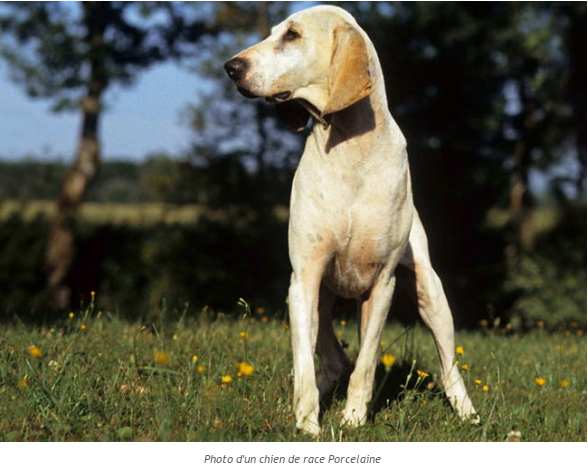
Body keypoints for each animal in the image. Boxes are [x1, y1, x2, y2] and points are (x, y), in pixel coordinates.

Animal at [225, 4, 478, 436]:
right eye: (274, 32)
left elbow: (367, 363)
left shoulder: (383, 284)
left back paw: (468, 413)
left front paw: (355, 419)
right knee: (331, 358)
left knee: (448, 367)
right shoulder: (304, 280)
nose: (231, 66)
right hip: (314, 299)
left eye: (291, 35)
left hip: (431, 295)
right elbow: (305, 368)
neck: (350, 146)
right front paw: (308, 426)